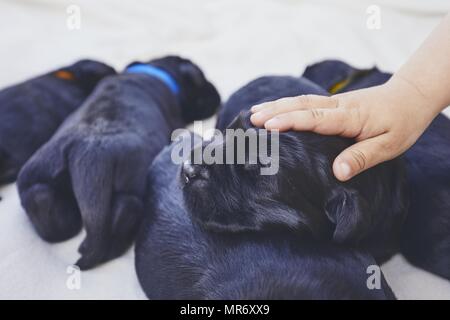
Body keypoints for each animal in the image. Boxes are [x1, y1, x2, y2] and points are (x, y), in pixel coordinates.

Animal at [17, 55, 221, 270]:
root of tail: (89, 152)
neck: (152, 70)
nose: (217, 95)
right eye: (201, 80)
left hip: (39, 173)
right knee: (123, 212)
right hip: (130, 194)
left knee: (44, 205)